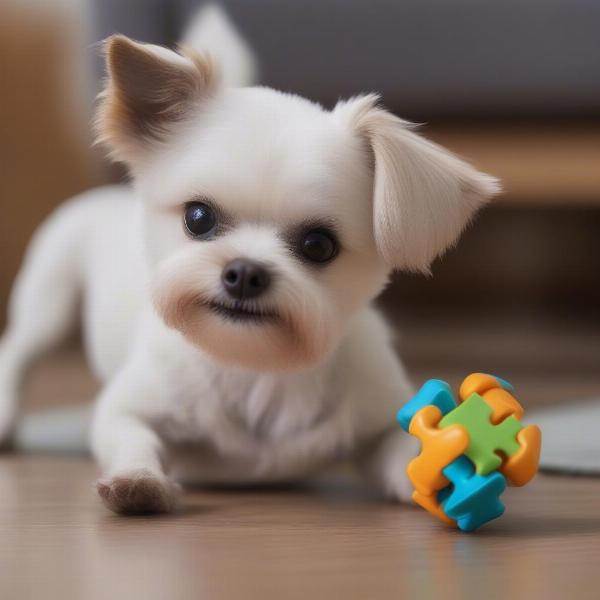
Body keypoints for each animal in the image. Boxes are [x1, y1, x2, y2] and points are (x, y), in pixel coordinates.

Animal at [0, 5, 500, 516]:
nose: (244, 272)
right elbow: (132, 438)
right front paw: (137, 480)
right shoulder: (127, 409)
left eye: (318, 245)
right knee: (19, 350)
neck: (254, 369)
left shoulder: (379, 414)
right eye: (198, 218)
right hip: (50, 299)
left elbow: (407, 452)